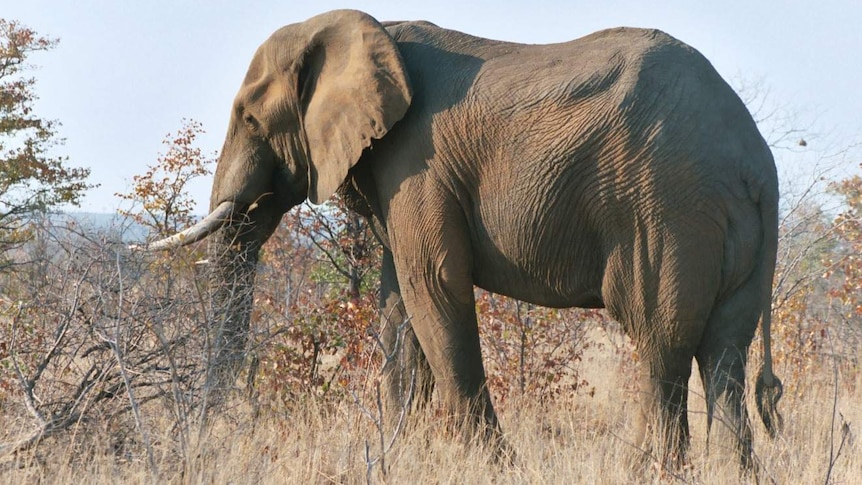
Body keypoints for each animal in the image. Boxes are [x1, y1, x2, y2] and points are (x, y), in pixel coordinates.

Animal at [145, 10, 788, 466]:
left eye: (252, 120)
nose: (207, 440)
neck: (362, 28)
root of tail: (757, 164)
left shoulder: (417, 160)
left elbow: (433, 285)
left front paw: (494, 466)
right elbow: (400, 305)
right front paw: (399, 457)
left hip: (667, 210)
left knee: (662, 343)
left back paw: (650, 469)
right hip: (725, 224)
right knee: (725, 354)